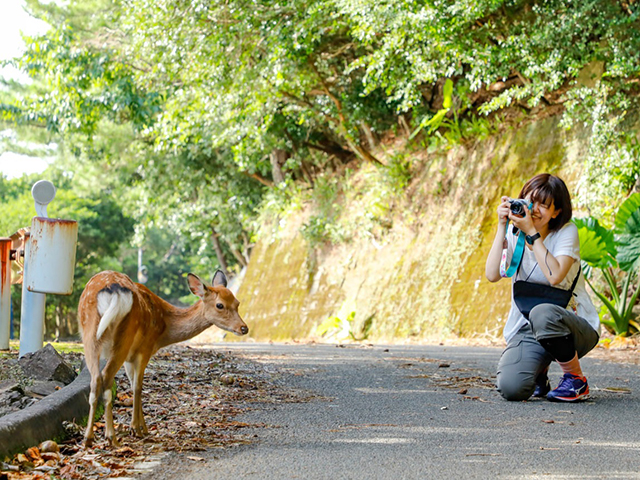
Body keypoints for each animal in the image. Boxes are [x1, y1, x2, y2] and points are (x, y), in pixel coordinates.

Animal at [78, 270, 248, 446]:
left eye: (237, 303)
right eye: (220, 305)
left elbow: (132, 384)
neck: (163, 330)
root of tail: (113, 291)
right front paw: (137, 429)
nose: (244, 328)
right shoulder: (145, 348)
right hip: (124, 336)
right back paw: (111, 437)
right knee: (106, 377)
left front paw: (142, 427)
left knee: (95, 379)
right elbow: (137, 387)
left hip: (89, 333)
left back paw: (88, 438)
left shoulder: (130, 357)